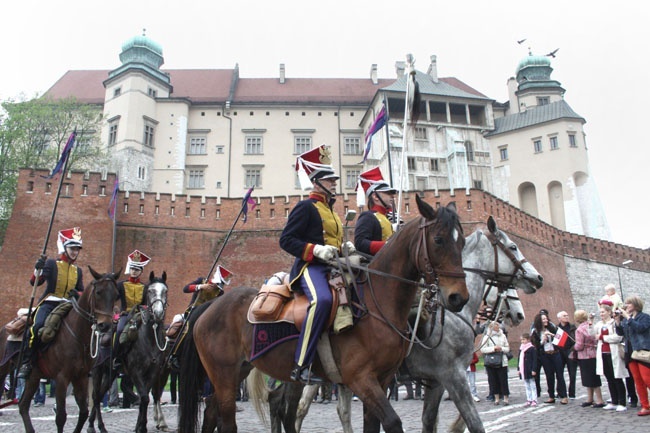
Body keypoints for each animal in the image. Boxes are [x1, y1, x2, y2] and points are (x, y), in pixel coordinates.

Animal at [17, 264, 119, 432]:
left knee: (23, 405)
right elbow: (61, 417)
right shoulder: (62, 378)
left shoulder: (81, 377)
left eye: (116, 295)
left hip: (35, 376)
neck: (78, 336)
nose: (105, 325)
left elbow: (83, 412)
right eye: (98, 292)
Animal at [88, 270, 170, 432]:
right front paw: (142, 426)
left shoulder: (153, 372)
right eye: (150, 291)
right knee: (95, 396)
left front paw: (140, 425)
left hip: (111, 373)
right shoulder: (135, 371)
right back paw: (95, 426)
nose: (158, 313)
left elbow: (145, 398)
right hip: (97, 370)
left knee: (100, 395)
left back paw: (93, 423)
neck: (148, 338)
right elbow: (144, 397)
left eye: (165, 291)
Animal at [177, 197, 468, 432]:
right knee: (229, 419)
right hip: (225, 376)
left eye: (462, 241)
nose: (458, 297)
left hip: (241, 371)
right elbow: (393, 422)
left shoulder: (383, 380)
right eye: (439, 240)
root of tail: (212, 305)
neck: (376, 304)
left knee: (218, 413)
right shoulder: (361, 379)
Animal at [280, 215, 544, 432]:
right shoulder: (453, 375)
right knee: (301, 408)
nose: (538, 278)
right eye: (513, 247)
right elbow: (473, 422)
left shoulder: (437, 381)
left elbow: (432, 421)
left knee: (341, 412)